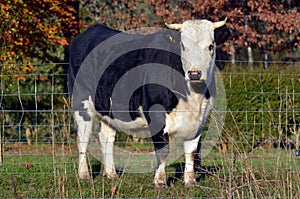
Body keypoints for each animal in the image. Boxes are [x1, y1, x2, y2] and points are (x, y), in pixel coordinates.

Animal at [69, 17, 231, 187]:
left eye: (211, 46)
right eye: (183, 46)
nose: (194, 73)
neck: (191, 96)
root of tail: (92, 29)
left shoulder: (201, 118)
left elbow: (192, 151)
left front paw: (190, 181)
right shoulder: (155, 114)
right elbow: (163, 150)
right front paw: (160, 182)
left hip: (108, 109)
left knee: (106, 137)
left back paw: (111, 173)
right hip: (80, 102)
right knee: (82, 138)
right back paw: (84, 174)